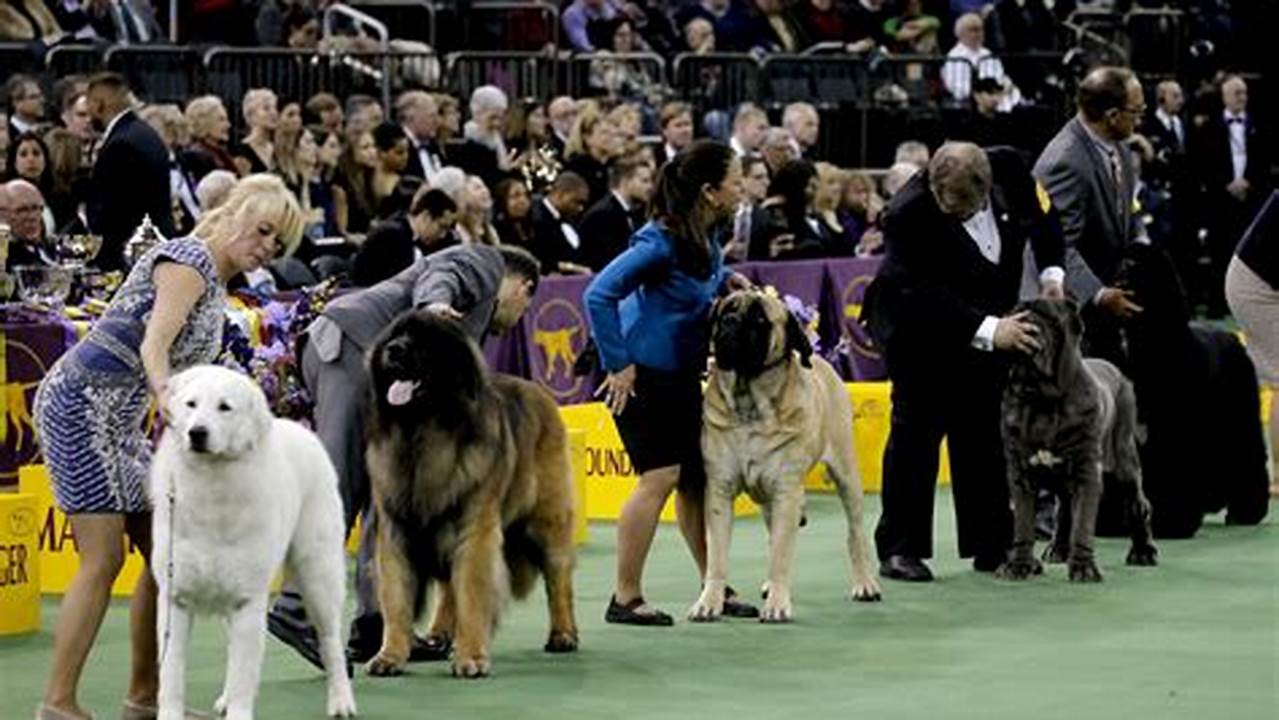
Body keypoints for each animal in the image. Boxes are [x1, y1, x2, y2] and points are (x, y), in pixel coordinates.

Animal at [152, 365, 358, 720]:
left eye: (224, 407)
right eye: (191, 404)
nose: (197, 433)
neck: (210, 484)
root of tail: (302, 430)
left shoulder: (247, 602)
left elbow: (243, 675)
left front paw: (237, 710)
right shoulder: (174, 599)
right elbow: (172, 675)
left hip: (319, 576)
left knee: (331, 643)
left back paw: (341, 702)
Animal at [363, 313, 578, 680]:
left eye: (424, 341)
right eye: (395, 335)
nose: (394, 350)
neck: (422, 432)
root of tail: (539, 392)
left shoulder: (474, 531)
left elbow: (473, 594)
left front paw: (471, 657)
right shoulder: (395, 533)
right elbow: (396, 599)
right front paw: (389, 655)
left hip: (546, 523)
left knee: (558, 580)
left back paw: (563, 634)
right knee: (448, 590)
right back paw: (438, 635)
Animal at [997, 301, 1161, 583]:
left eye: (1048, 317)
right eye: (1016, 312)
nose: (1026, 320)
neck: (1043, 399)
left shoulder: (1087, 472)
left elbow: (1083, 522)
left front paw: (1084, 568)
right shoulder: (1021, 474)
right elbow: (1023, 524)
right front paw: (1019, 565)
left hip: (1125, 459)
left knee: (1138, 504)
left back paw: (1143, 552)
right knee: (1063, 511)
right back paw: (1058, 549)